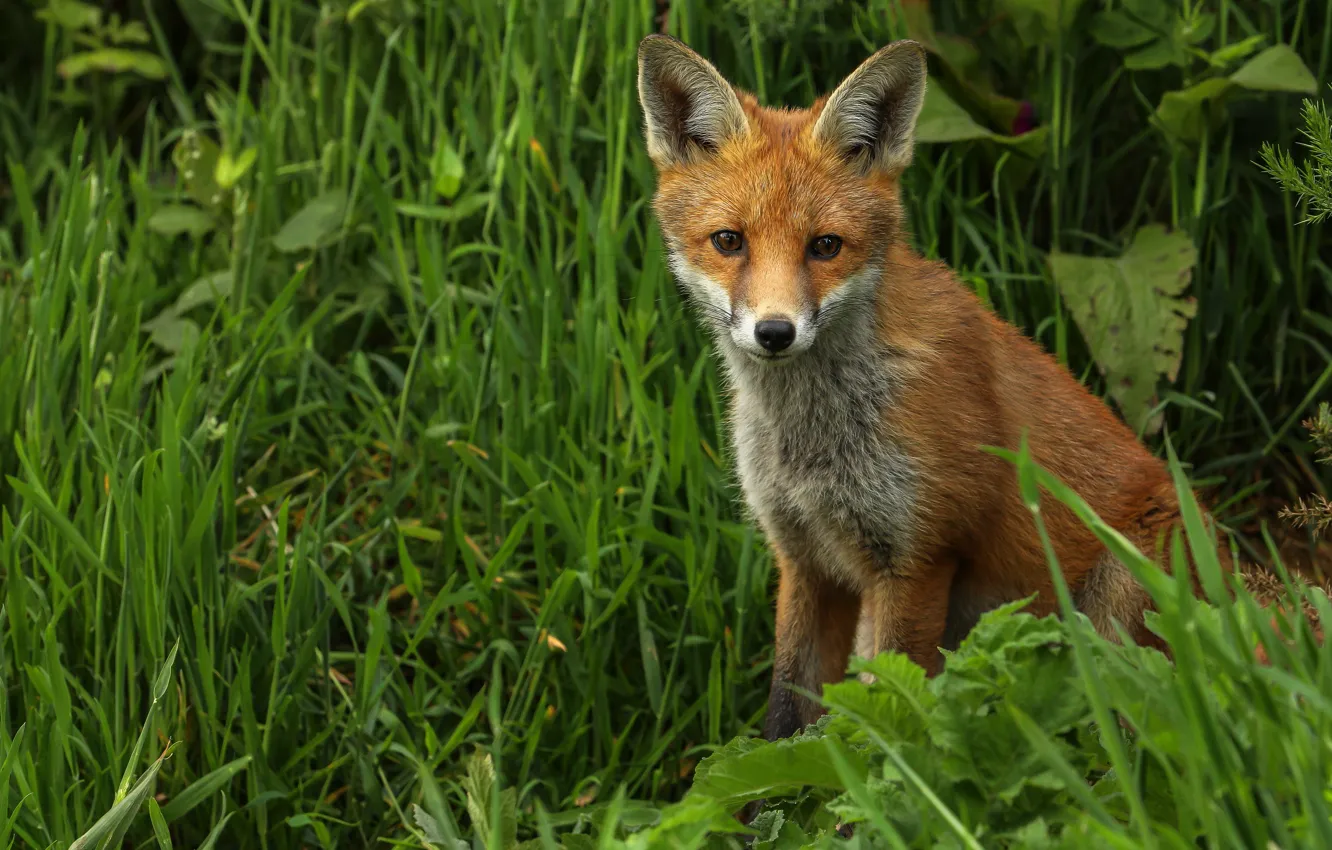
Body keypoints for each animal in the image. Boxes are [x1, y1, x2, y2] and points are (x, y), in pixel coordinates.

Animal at [634, 33, 1316, 755]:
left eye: (825, 246)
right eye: (729, 241)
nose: (774, 332)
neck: (816, 445)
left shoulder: (919, 558)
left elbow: (891, 720)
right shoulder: (804, 561)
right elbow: (787, 721)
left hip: (1117, 610)